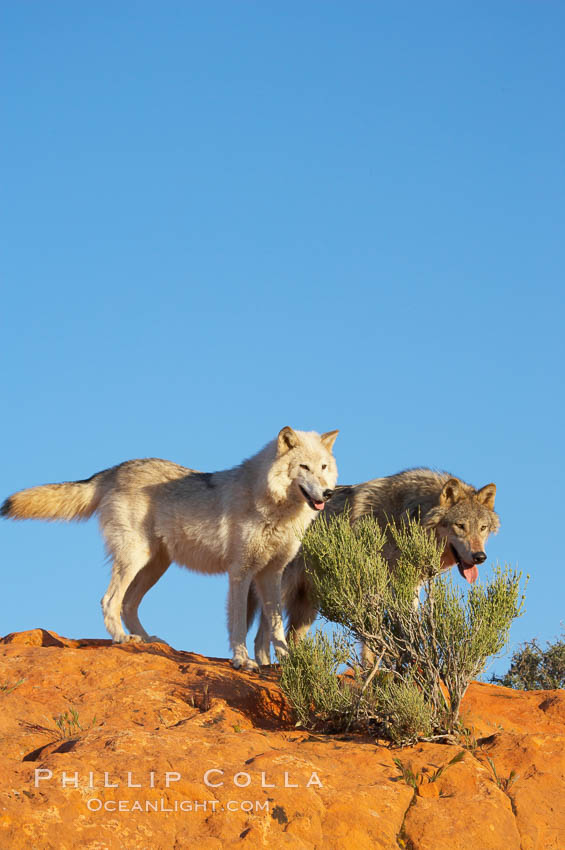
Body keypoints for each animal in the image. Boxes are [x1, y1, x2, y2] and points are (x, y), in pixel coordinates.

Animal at [2, 424, 338, 668]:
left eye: (323, 467)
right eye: (304, 467)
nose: (328, 493)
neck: (275, 508)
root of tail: (115, 469)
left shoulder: (271, 575)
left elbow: (276, 625)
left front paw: (291, 663)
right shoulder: (240, 573)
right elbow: (239, 625)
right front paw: (242, 661)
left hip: (155, 566)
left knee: (128, 603)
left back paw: (148, 639)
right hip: (136, 559)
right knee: (109, 600)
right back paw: (122, 639)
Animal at [249, 468, 496, 664]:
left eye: (482, 528)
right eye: (460, 526)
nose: (480, 556)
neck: (406, 517)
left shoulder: (410, 588)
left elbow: (408, 630)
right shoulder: (369, 585)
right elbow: (371, 636)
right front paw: (370, 670)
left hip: (308, 606)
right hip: (284, 592)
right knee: (261, 638)